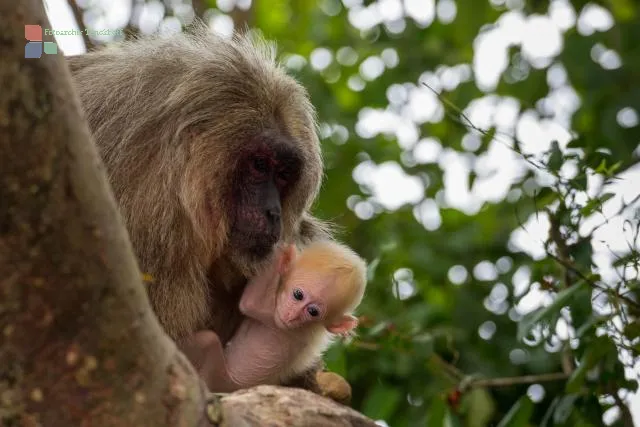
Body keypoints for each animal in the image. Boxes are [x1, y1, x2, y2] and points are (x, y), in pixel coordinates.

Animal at [180, 241, 368, 392]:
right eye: (298, 295)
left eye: (313, 312)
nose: (291, 315)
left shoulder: (278, 321)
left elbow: (249, 304)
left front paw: (280, 252)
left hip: (218, 378)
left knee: (208, 341)